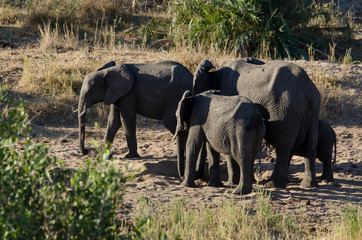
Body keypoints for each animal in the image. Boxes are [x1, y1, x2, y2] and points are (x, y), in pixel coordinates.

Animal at [194, 58, 320, 189]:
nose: (199, 178)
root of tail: (308, 91)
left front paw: (231, 183)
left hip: (286, 111)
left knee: (283, 146)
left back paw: (272, 184)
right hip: (312, 111)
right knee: (309, 145)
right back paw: (307, 185)